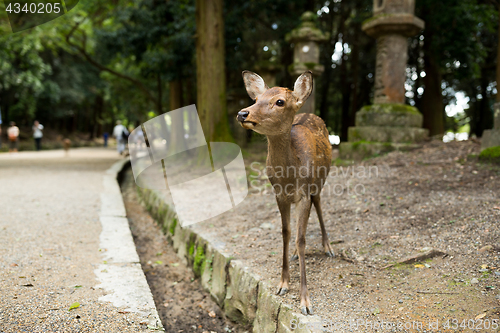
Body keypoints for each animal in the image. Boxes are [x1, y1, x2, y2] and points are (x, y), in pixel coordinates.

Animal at [237, 70, 334, 314]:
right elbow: (286, 233)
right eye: (256, 99)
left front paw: (305, 301)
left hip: (320, 180)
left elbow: (301, 238)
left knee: (319, 203)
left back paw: (328, 247)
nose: (243, 113)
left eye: (279, 101)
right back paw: (295, 254)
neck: (289, 177)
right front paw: (282, 284)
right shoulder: (279, 194)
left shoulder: (304, 193)